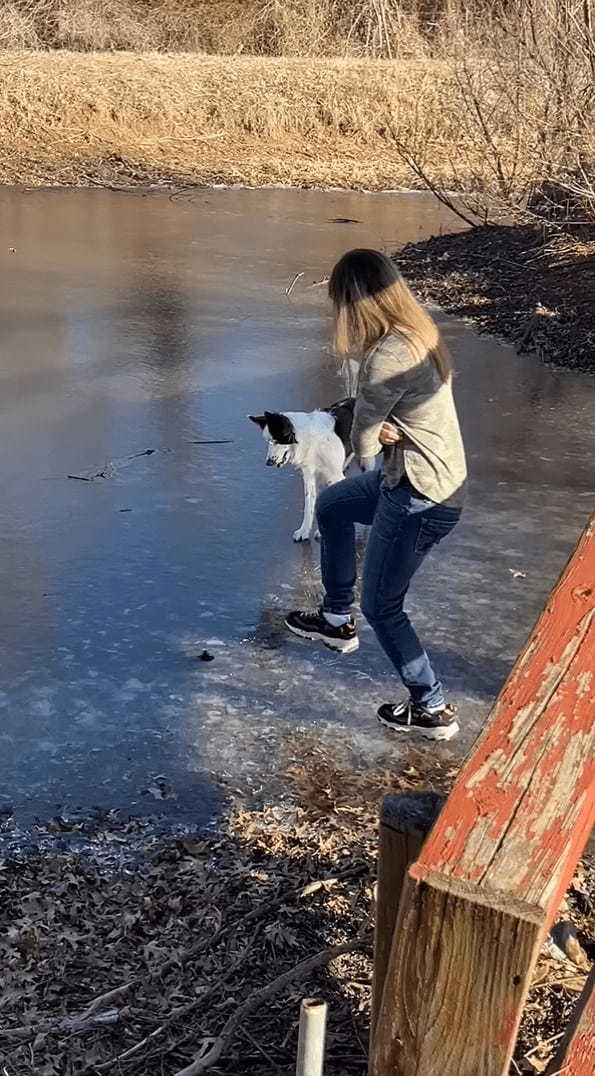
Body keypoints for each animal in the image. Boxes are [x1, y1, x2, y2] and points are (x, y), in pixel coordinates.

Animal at [249, 400, 355, 542]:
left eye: (276, 440)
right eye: (268, 441)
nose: (268, 463)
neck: (312, 439)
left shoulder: (335, 476)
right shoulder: (309, 475)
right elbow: (308, 505)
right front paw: (304, 531)